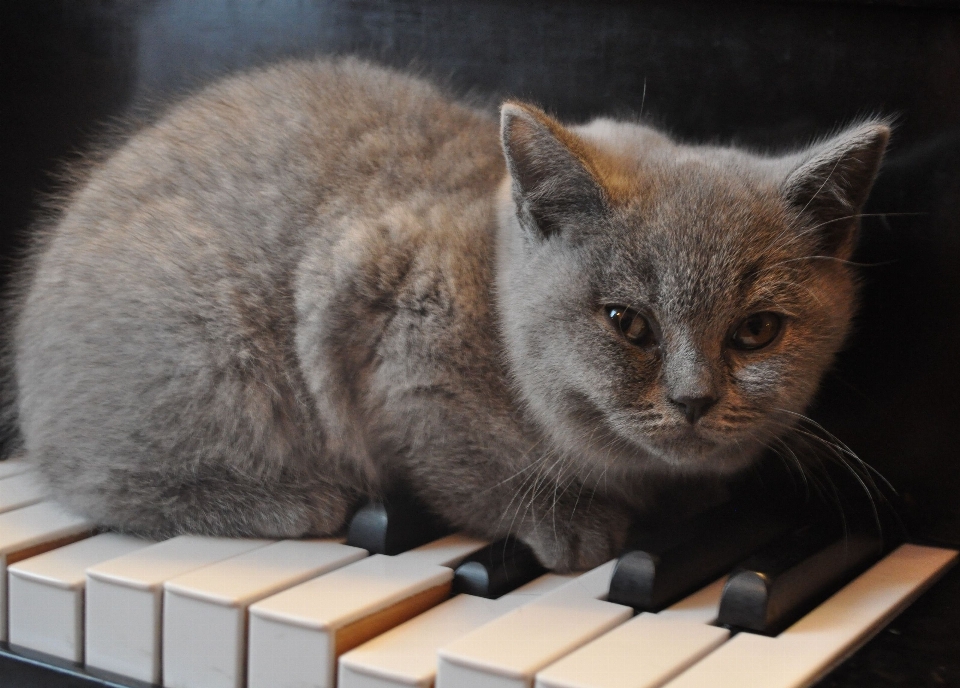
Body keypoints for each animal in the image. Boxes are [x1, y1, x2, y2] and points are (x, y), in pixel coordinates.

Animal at [3, 57, 892, 568]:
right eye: (626, 323)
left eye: (757, 331)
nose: (694, 398)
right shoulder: (391, 341)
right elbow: (471, 470)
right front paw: (574, 527)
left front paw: (688, 503)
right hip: (215, 358)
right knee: (94, 480)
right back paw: (292, 501)